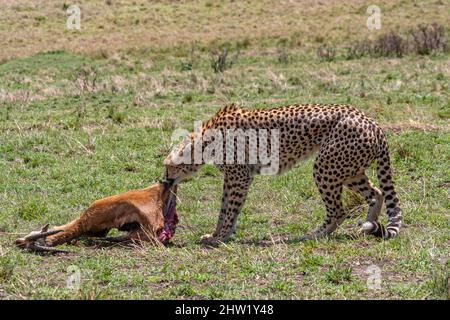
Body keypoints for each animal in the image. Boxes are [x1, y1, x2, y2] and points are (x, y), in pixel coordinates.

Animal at [163, 103, 402, 245]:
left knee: (338, 210)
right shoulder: (233, 179)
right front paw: (218, 234)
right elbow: (224, 209)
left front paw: (219, 237)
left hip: (325, 167)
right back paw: (366, 227)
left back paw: (314, 235)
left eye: (168, 166)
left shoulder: (240, 178)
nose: (163, 180)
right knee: (377, 193)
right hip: (349, 170)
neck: (204, 142)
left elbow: (230, 209)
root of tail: (372, 122)